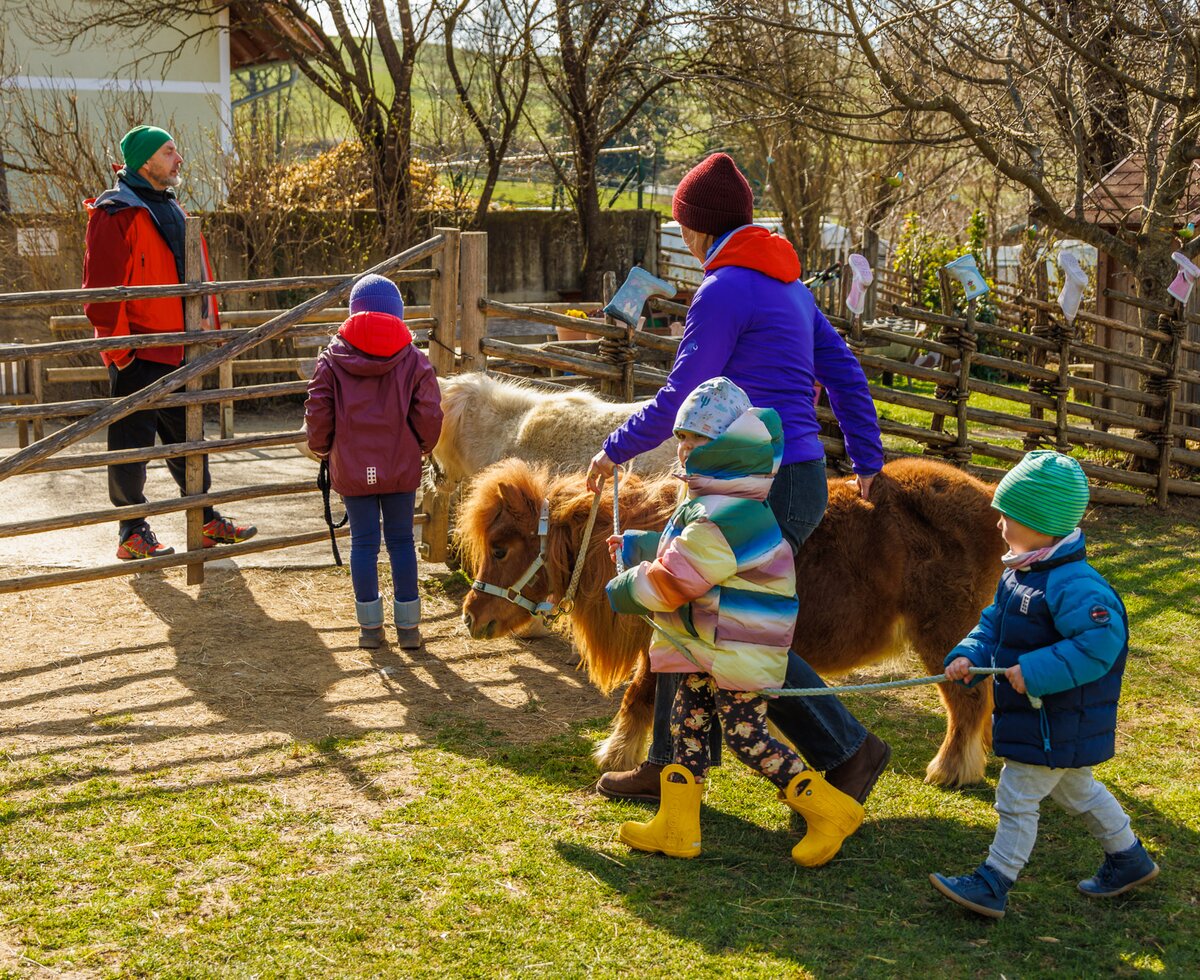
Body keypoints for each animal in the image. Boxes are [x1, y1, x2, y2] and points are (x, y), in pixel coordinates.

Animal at [456, 455, 1003, 782]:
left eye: (500, 548)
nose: (469, 617)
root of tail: (989, 498)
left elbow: (643, 695)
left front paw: (617, 757)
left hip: (945, 637)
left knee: (967, 702)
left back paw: (950, 769)